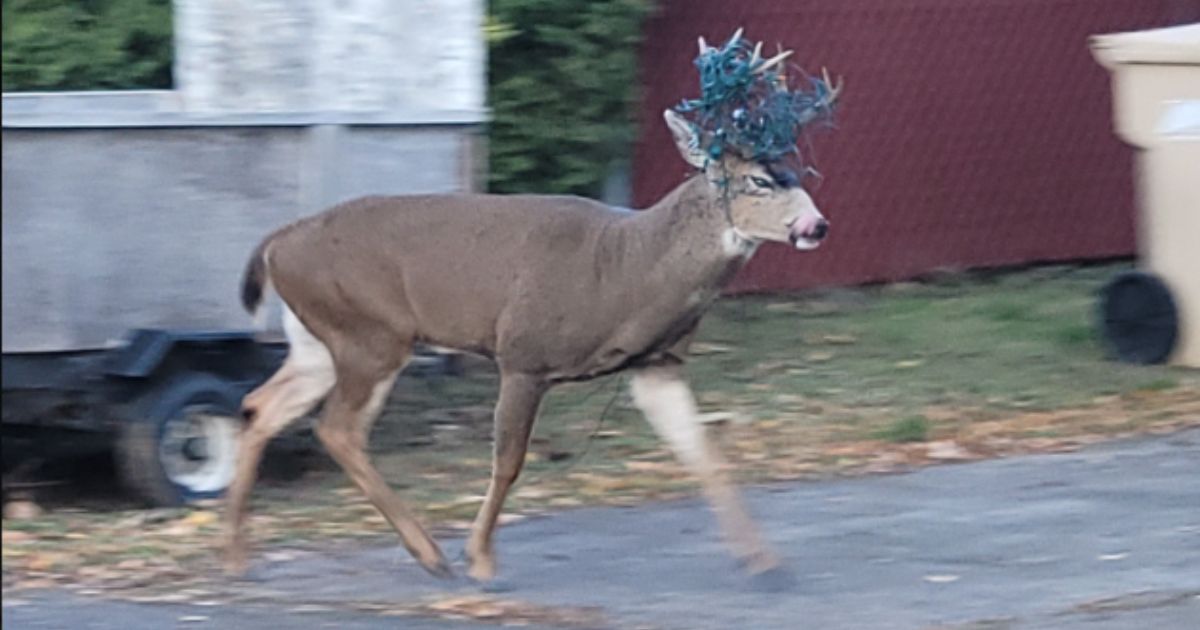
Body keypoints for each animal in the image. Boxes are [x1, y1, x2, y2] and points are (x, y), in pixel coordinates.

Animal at [225, 34, 844, 585]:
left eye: (796, 172)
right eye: (759, 179)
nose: (816, 225)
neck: (627, 269)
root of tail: (276, 243)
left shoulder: (657, 363)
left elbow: (702, 452)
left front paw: (765, 564)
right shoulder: (524, 354)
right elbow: (509, 462)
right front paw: (481, 560)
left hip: (319, 339)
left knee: (261, 405)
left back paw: (239, 555)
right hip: (370, 332)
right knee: (337, 428)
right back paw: (431, 554)